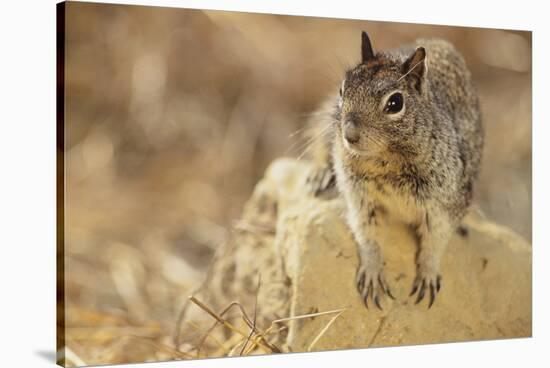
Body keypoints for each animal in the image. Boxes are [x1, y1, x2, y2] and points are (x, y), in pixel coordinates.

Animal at [308, 31, 486, 310]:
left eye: (395, 103)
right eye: (342, 89)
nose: (349, 135)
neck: (385, 160)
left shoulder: (444, 203)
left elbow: (435, 241)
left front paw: (428, 274)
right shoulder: (361, 199)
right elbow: (367, 236)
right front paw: (372, 273)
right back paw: (320, 174)